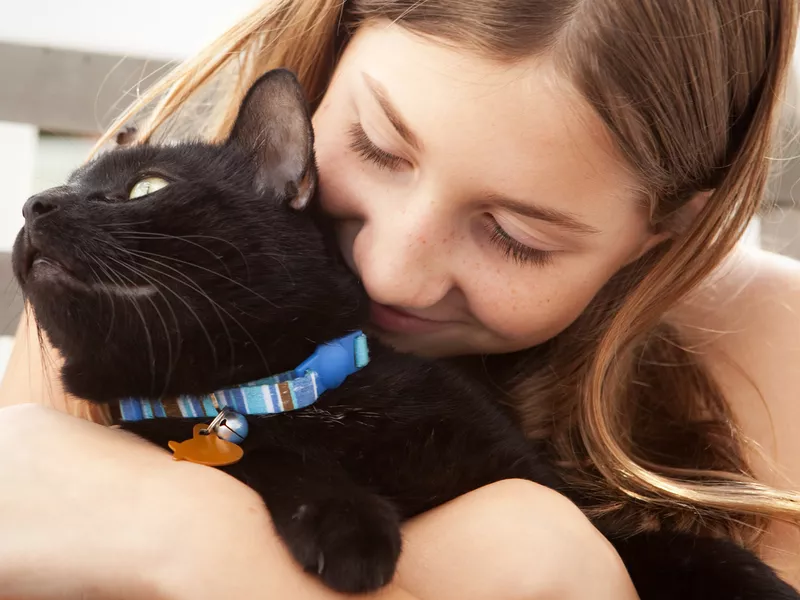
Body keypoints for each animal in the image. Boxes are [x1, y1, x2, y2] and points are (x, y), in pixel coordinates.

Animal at [9, 69, 796, 596]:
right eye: (63, 185)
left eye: (148, 185)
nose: (34, 203)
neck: (280, 394)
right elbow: (269, 458)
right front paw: (349, 525)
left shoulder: (552, 496)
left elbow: (670, 545)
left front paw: (758, 583)